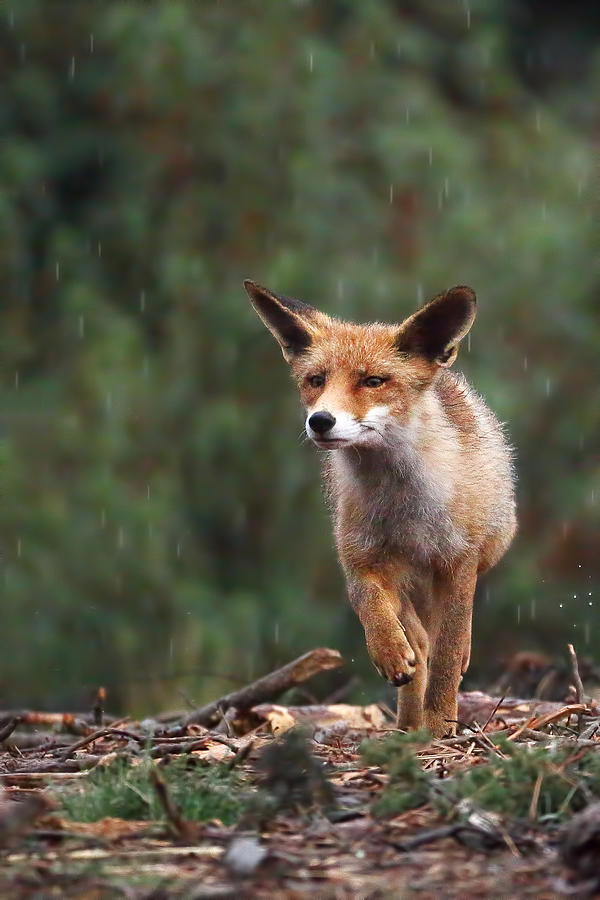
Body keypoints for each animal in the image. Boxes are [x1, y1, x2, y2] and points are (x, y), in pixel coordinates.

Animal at [244, 282, 516, 740]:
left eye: (373, 381)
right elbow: (370, 605)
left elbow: (447, 654)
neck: (402, 505)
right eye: (316, 381)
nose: (320, 420)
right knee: (419, 641)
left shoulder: (457, 562)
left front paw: (440, 726)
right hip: (404, 579)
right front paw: (388, 651)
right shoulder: (361, 558)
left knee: (444, 641)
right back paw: (407, 722)